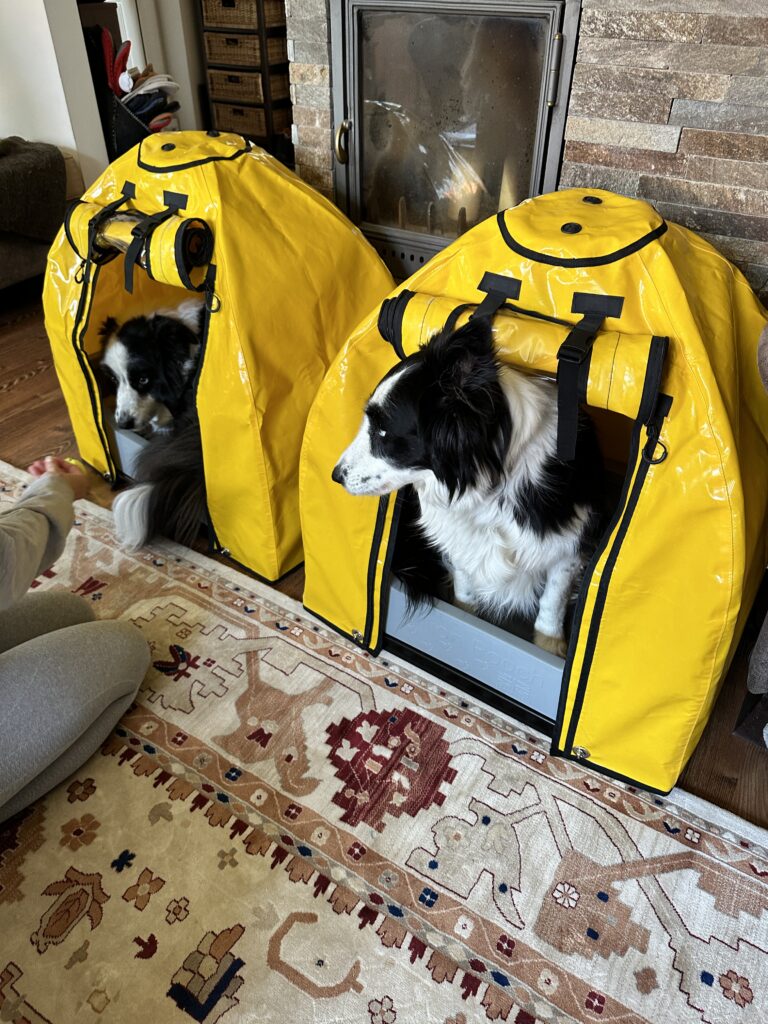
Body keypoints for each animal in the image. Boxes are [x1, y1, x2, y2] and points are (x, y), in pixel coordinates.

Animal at [333, 317, 606, 655]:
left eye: (383, 432)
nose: (336, 475)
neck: (487, 481)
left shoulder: (569, 543)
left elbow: (552, 601)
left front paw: (550, 646)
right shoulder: (458, 538)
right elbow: (465, 591)